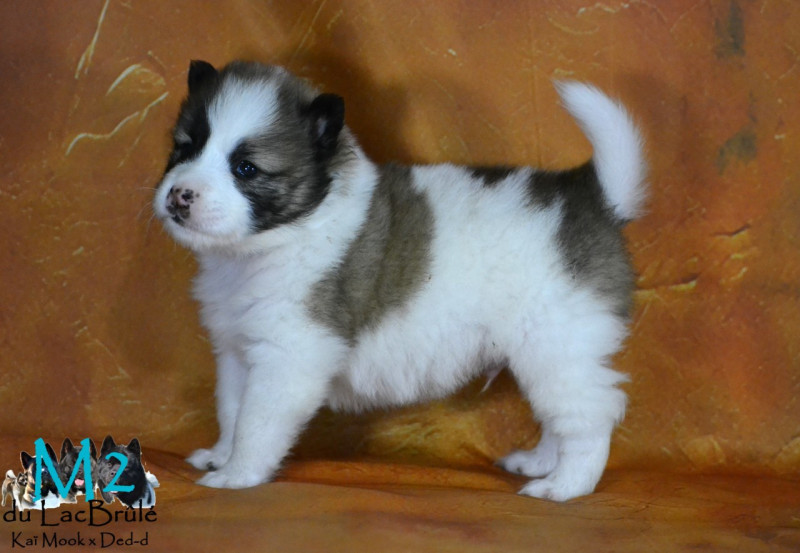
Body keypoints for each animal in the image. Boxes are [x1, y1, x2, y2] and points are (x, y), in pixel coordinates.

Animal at [153, 60, 646, 501]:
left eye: (246, 168)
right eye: (184, 148)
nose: (179, 195)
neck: (287, 232)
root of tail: (589, 197)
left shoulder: (288, 355)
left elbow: (256, 422)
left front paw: (236, 475)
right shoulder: (236, 349)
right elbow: (231, 409)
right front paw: (220, 455)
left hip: (558, 344)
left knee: (589, 418)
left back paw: (566, 485)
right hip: (548, 354)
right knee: (560, 416)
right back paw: (542, 462)